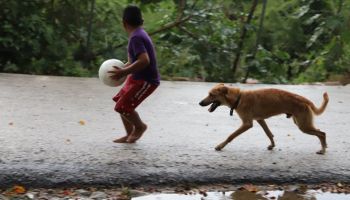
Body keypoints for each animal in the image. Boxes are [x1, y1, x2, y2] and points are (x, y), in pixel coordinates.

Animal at [198, 83, 330, 154]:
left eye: (211, 94)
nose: (200, 103)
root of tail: (304, 99)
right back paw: (324, 148)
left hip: (303, 125)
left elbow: (231, 136)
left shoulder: (247, 124)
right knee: (320, 132)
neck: (239, 98)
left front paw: (220, 146)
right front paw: (272, 145)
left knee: (322, 133)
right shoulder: (260, 119)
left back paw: (323, 150)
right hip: (301, 123)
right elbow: (269, 133)